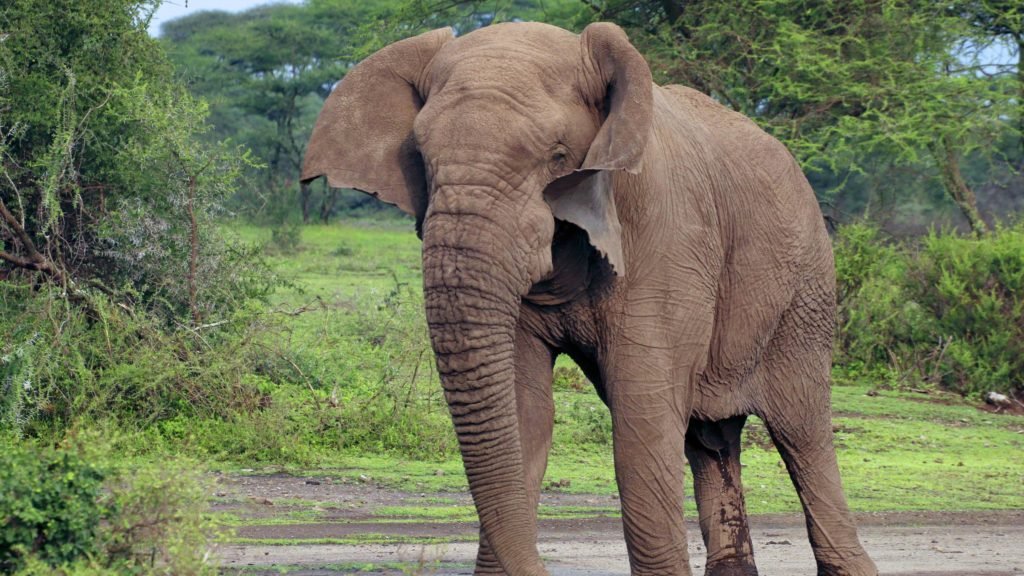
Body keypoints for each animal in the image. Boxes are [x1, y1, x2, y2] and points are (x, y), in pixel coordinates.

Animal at [299, 21, 876, 573]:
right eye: (419, 158)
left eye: (557, 157)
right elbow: (524, 413)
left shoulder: (667, 231)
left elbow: (641, 424)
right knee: (710, 439)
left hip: (805, 293)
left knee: (802, 434)